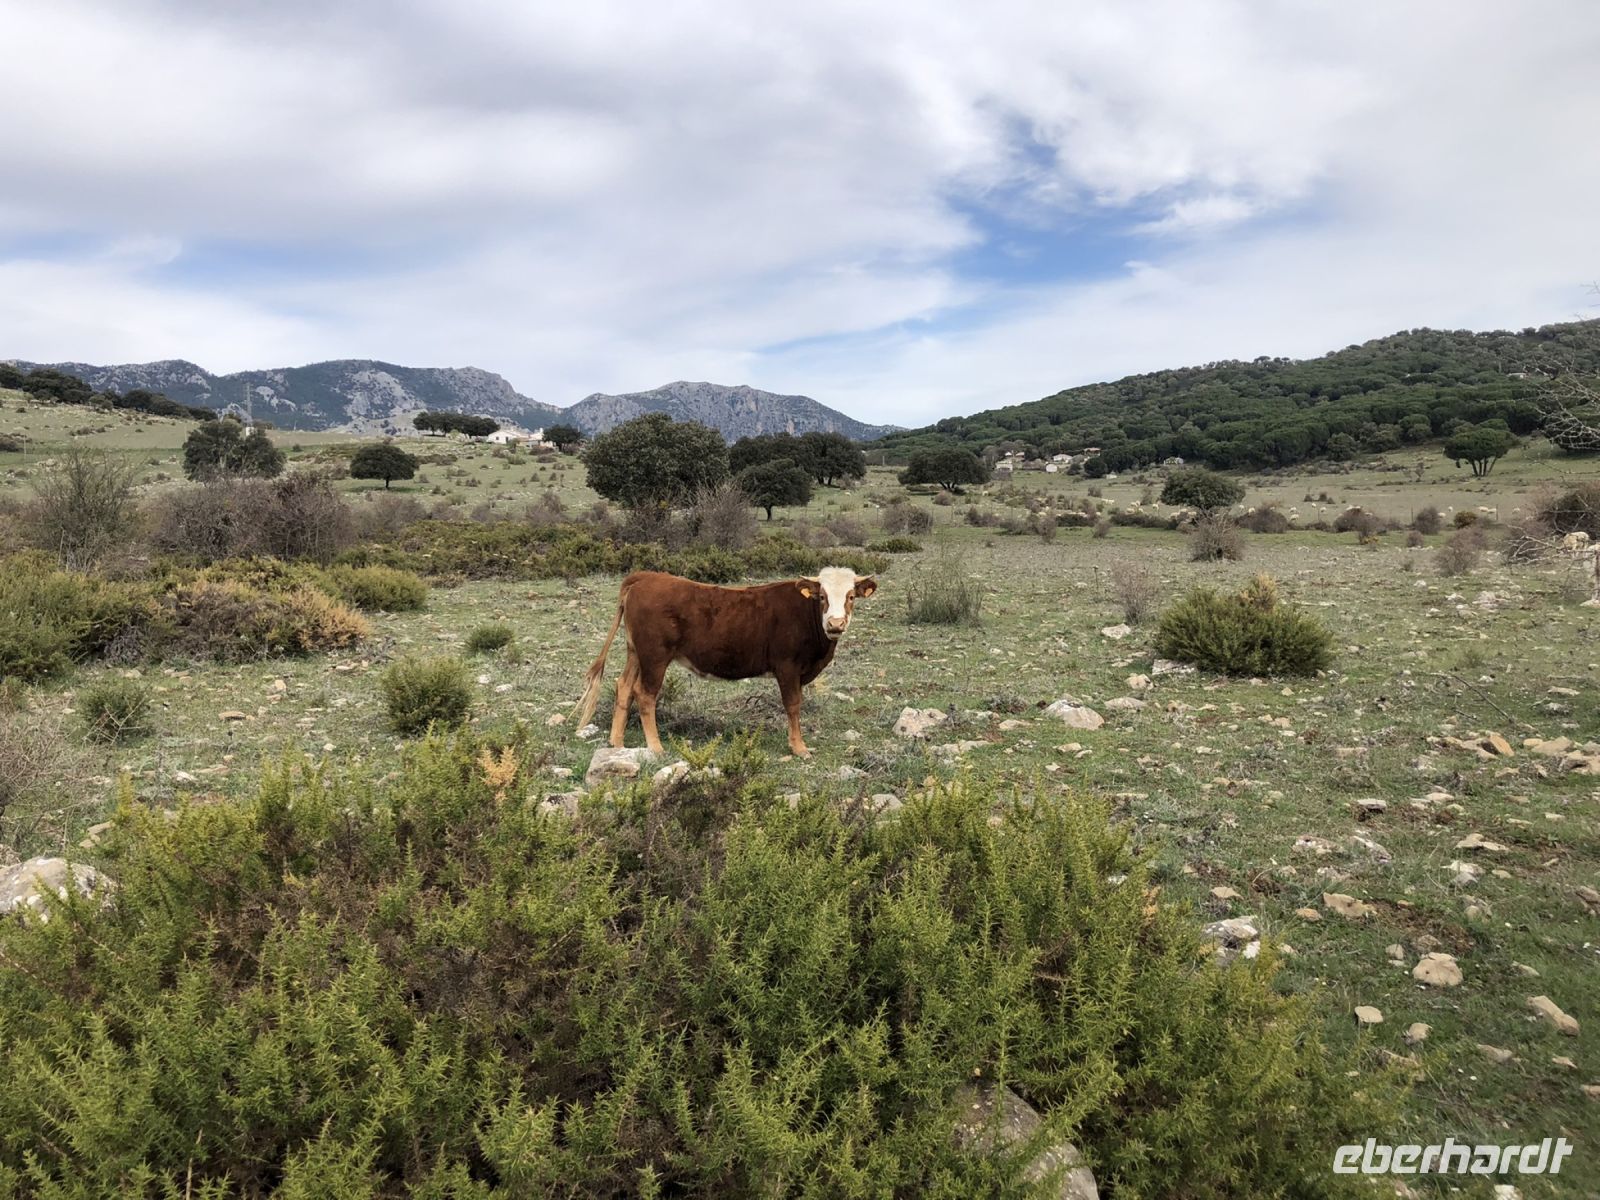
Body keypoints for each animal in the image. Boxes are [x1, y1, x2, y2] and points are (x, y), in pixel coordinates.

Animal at [574, 567, 877, 757]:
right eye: (822, 597)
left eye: (851, 596)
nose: (836, 623)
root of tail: (645, 578)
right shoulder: (787, 666)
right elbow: (793, 705)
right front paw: (799, 748)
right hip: (655, 656)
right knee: (645, 694)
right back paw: (656, 747)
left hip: (635, 652)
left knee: (624, 686)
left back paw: (617, 743)